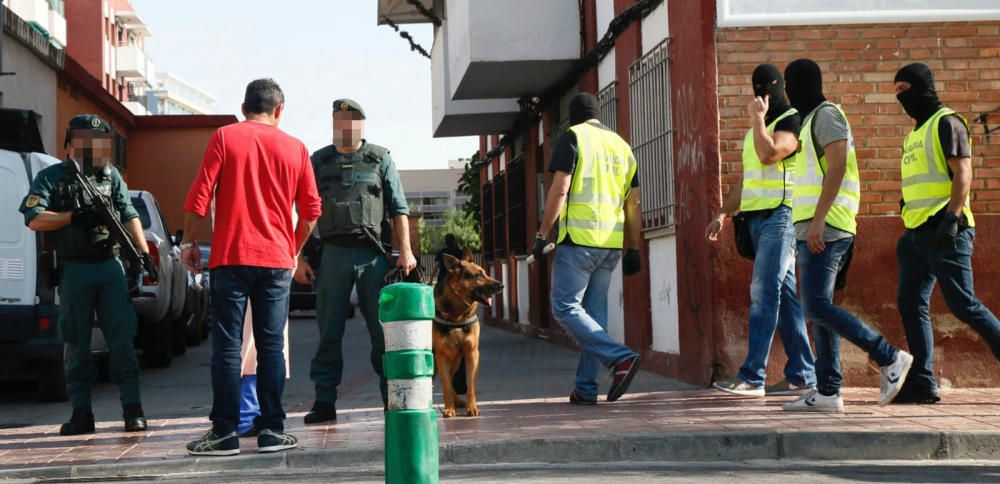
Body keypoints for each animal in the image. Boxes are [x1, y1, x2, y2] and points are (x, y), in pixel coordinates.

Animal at [434, 250, 504, 416]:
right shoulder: (441, 356)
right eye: (478, 275)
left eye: (485, 273)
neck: (457, 316)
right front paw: (449, 408)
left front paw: (472, 408)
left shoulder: (472, 353)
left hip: (454, 360)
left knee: (449, 379)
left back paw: (458, 401)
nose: (502, 286)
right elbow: (446, 386)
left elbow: (470, 385)